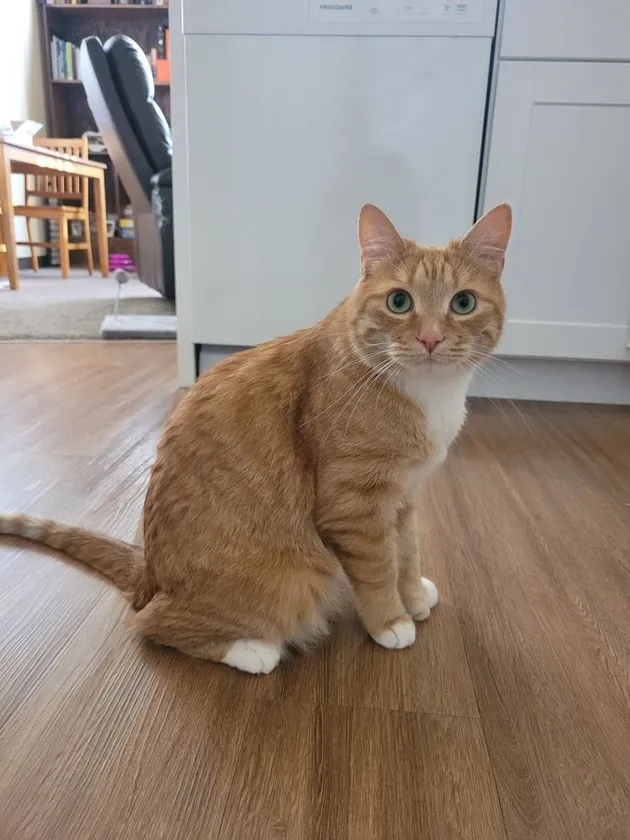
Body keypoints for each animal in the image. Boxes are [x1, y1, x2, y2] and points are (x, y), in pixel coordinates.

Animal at [0, 202, 511, 675]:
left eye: (463, 303)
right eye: (400, 302)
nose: (430, 340)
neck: (428, 395)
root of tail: (150, 573)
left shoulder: (403, 496)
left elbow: (408, 551)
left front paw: (415, 595)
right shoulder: (355, 508)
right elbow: (379, 569)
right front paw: (391, 621)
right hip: (294, 577)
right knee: (151, 624)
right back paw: (251, 650)